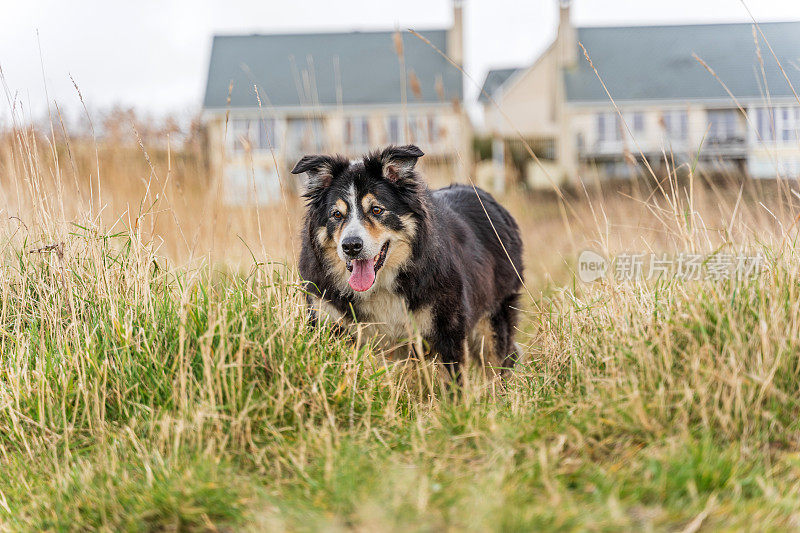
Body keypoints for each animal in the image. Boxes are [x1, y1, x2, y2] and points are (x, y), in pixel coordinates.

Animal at [294, 143, 524, 372]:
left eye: (376, 210)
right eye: (337, 214)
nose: (351, 246)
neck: (381, 287)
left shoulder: (447, 330)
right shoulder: (328, 318)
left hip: (494, 320)